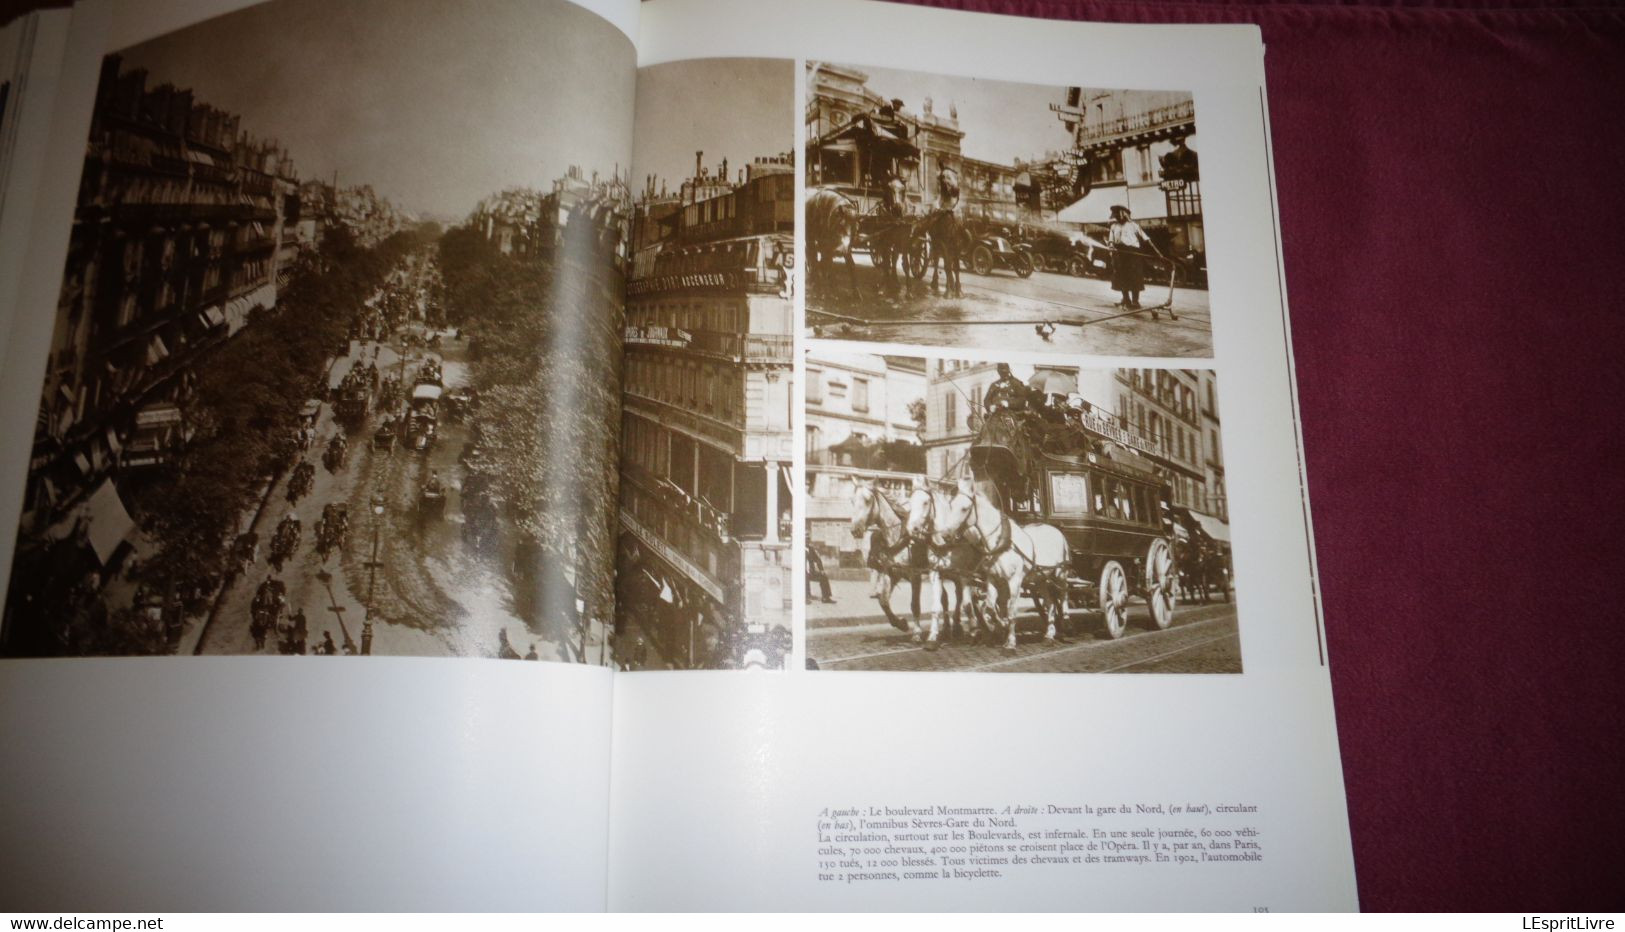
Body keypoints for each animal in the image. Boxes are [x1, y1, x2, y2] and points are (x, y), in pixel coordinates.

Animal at [936, 477, 1072, 652]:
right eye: (951, 505)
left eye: (964, 508)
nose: (945, 536)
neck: (1000, 542)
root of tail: (1056, 530)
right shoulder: (992, 579)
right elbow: (990, 607)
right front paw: (1001, 626)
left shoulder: (1014, 581)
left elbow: (1011, 610)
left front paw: (1011, 642)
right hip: (1040, 579)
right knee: (1050, 603)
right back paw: (1049, 635)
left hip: (1060, 573)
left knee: (1063, 594)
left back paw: (1066, 622)